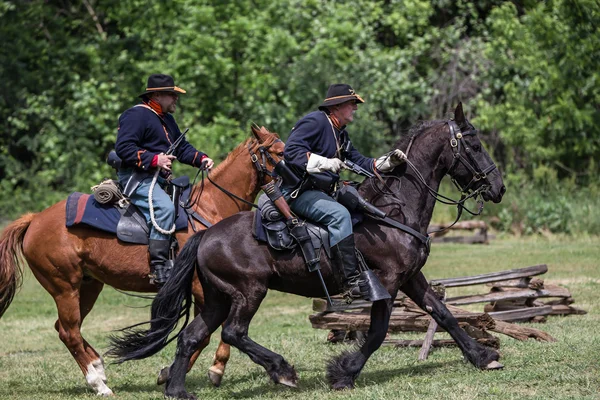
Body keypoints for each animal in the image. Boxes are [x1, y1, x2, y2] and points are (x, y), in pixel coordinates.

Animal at [0, 126, 284, 396]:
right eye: (278, 152)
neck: (209, 208)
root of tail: (34, 220)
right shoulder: (203, 289)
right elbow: (207, 333)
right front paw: (185, 372)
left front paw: (194, 370)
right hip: (64, 288)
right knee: (69, 332)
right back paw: (99, 384)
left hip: (88, 286)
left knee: (67, 328)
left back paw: (99, 368)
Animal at [109, 101, 506, 398]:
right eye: (473, 145)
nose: (498, 187)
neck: (394, 209)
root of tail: (204, 236)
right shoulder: (388, 282)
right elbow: (377, 332)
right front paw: (344, 372)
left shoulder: (411, 277)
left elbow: (444, 314)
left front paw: (484, 355)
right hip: (248, 292)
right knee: (233, 333)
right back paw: (282, 370)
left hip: (218, 297)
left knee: (192, 336)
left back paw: (177, 389)